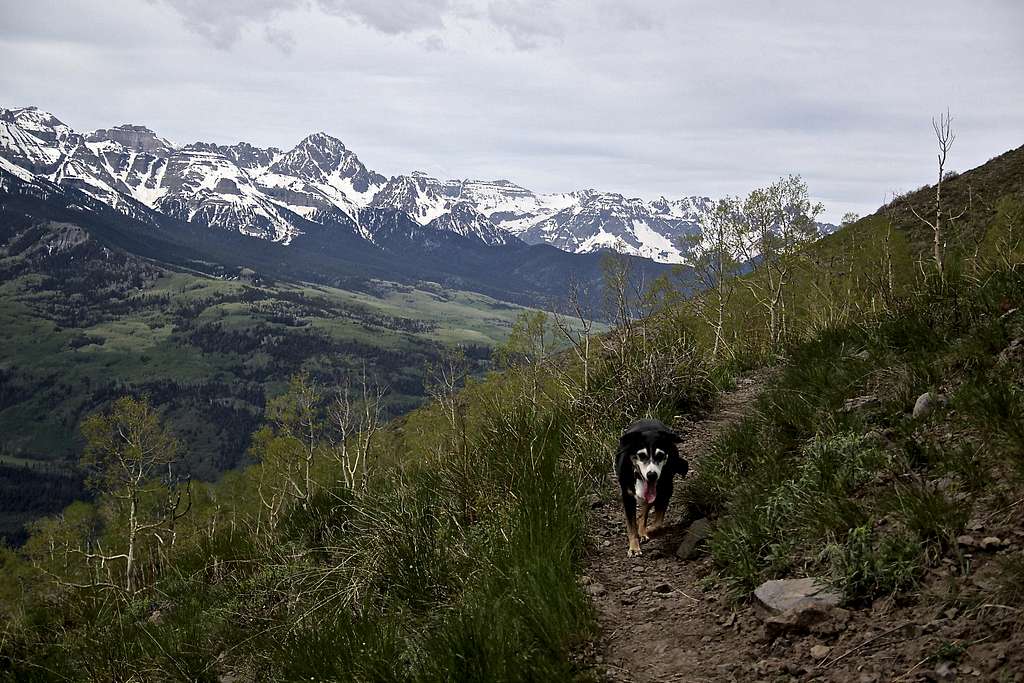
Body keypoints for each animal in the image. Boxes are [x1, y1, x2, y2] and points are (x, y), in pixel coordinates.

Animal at [614, 419, 688, 557]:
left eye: (660, 455)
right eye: (642, 455)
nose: (652, 475)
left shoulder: (666, 492)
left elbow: (657, 523)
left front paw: (646, 532)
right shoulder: (627, 497)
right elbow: (631, 526)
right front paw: (634, 548)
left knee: (645, 511)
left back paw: (643, 531)